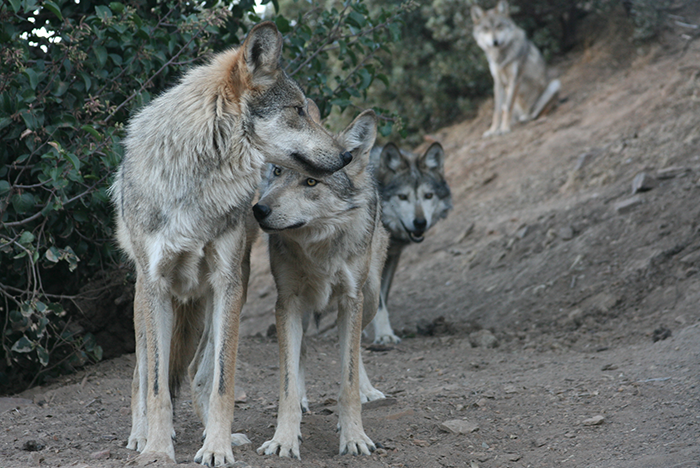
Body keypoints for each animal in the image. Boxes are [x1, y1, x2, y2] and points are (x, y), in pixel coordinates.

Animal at [111, 21, 352, 464]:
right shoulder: (155, 285)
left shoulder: (228, 282)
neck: (199, 179)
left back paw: (211, 434)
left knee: (198, 373)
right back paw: (141, 436)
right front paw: (157, 449)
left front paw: (217, 448)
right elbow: (156, 387)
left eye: (309, 111)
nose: (347, 157)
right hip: (146, 299)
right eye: (297, 110)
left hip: (216, 295)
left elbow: (223, 383)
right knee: (141, 372)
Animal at [253, 109, 388, 458]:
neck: (318, 248)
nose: (259, 209)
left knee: (355, 349)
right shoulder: (286, 300)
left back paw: (368, 391)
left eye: (311, 182)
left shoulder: (351, 299)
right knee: (300, 353)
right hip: (299, 309)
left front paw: (354, 437)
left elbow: (348, 377)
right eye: (277, 171)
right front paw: (284, 439)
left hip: (370, 298)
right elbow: (287, 379)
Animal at [370, 142, 452, 344]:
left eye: (428, 195)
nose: (420, 223)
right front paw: (384, 335)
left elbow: (382, 298)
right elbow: (379, 302)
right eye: (402, 197)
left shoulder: (392, 257)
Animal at [470, 0, 564, 137]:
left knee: (536, 112)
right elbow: (497, 111)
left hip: (554, 85)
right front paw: (493, 130)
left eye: (499, 26)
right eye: (486, 29)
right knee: (507, 110)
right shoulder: (498, 82)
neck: (501, 57)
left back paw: (526, 118)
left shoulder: (515, 79)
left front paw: (504, 129)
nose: (495, 42)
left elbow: (507, 108)